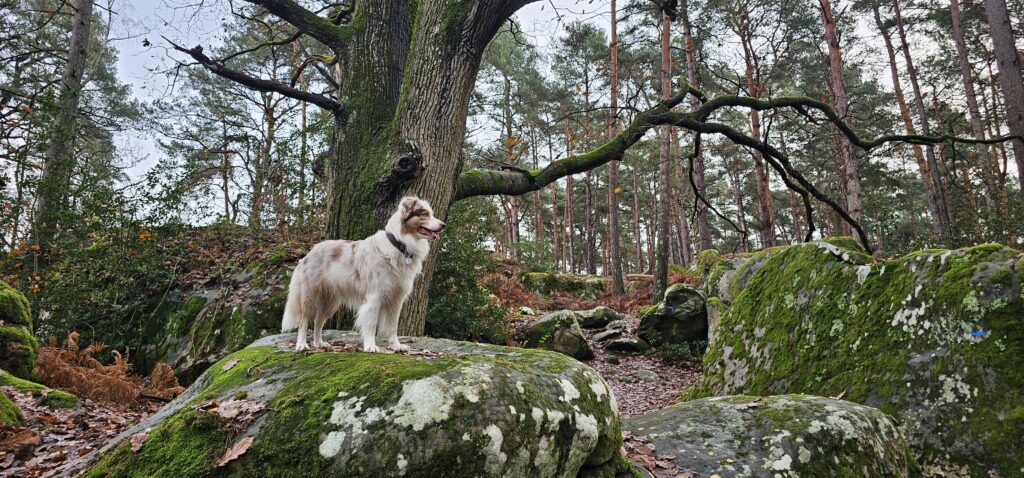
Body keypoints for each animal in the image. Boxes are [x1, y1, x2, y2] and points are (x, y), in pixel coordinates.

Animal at [280, 196, 444, 354]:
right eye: (424, 214)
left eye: (431, 213)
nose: (443, 225)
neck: (399, 245)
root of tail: (310, 252)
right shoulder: (375, 297)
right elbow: (371, 324)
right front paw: (370, 346)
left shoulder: (396, 299)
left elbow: (393, 326)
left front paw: (396, 346)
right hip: (310, 296)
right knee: (304, 320)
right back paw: (302, 345)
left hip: (330, 301)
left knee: (318, 321)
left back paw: (319, 343)